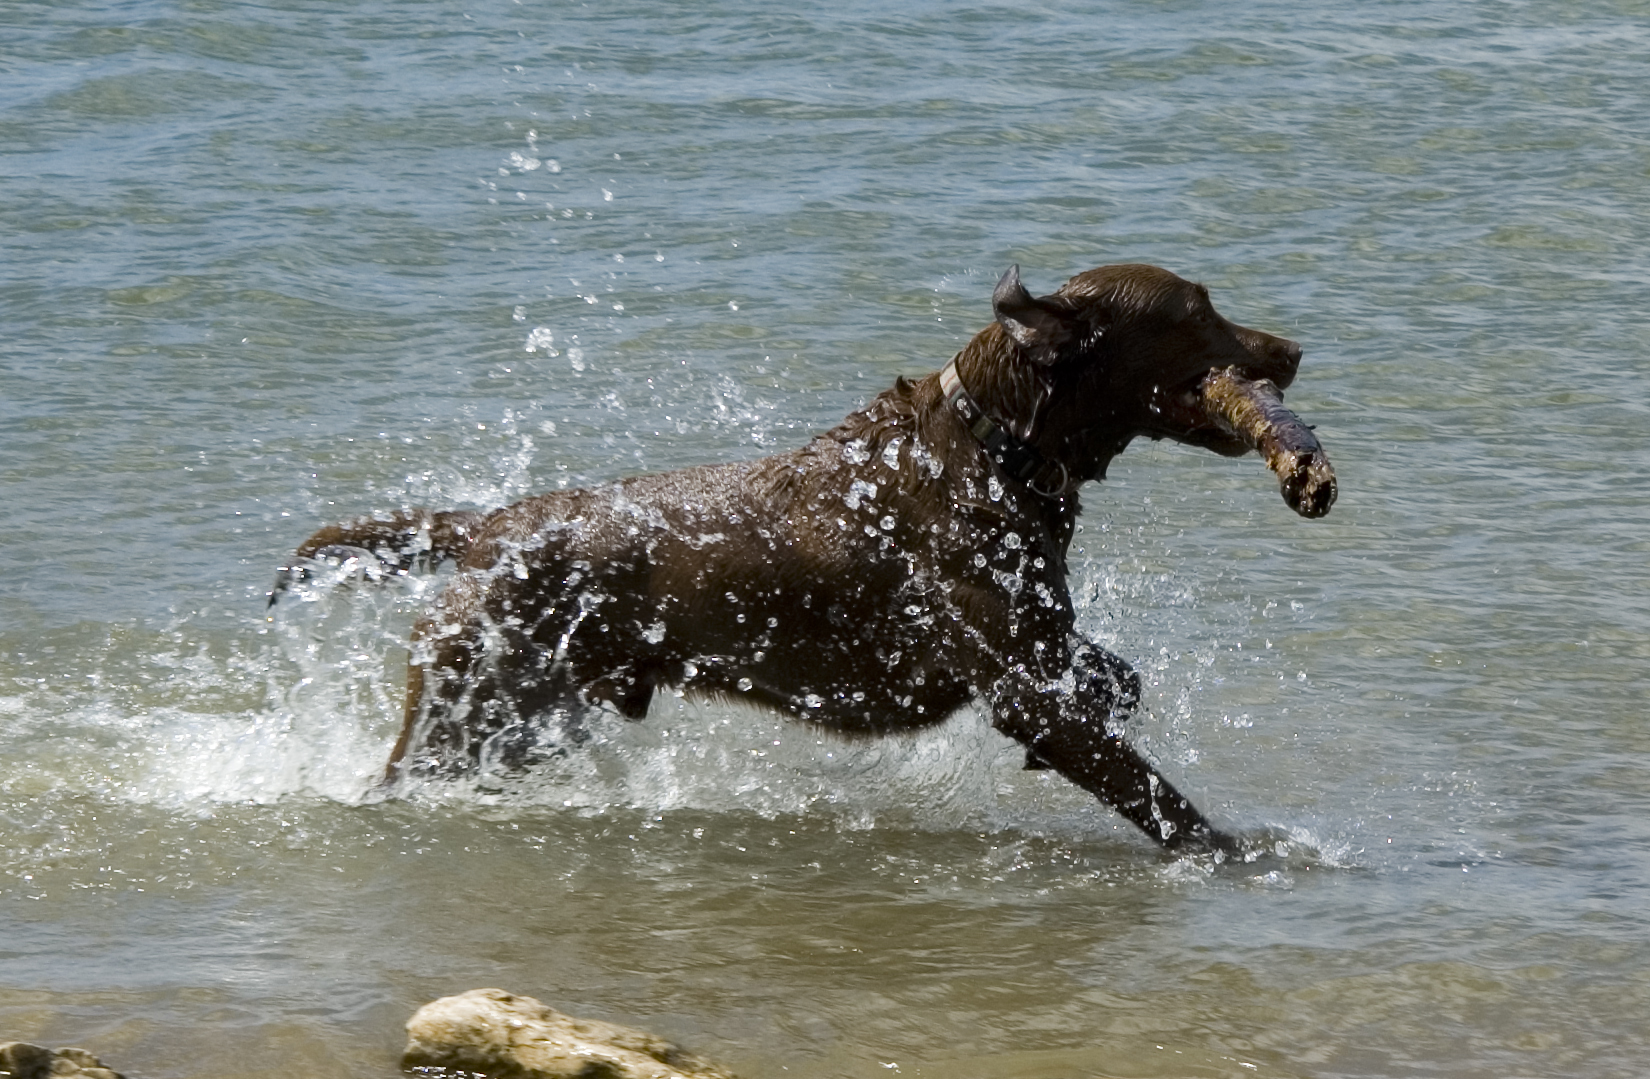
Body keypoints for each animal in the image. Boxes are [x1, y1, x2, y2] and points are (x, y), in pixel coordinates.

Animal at [273, 263, 1326, 851]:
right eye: (1197, 309)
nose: (1294, 349)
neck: (994, 449)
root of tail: (487, 527)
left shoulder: (1041, 649)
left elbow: (1117, 677)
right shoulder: (1020, 685)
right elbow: (1153, 789)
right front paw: (1234, 849)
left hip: (538, 716)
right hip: (471, 705)